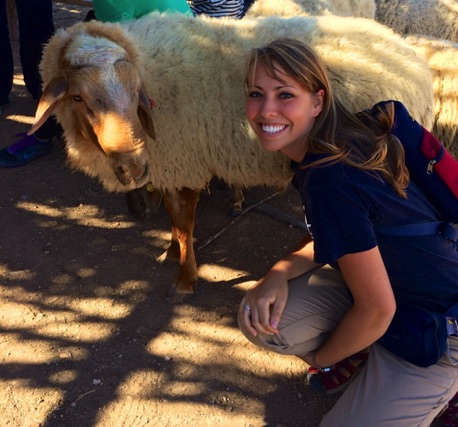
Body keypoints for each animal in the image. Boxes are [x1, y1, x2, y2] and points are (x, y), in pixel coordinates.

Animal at [30, 12, 434, 294]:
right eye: (77, 97)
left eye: (135, 92)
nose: (134, 168)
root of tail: (413, 63)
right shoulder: (170, 163)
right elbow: (173, 217)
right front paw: (171, 251)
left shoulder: (187, 159)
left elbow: (184, 221)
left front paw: (185, 276)